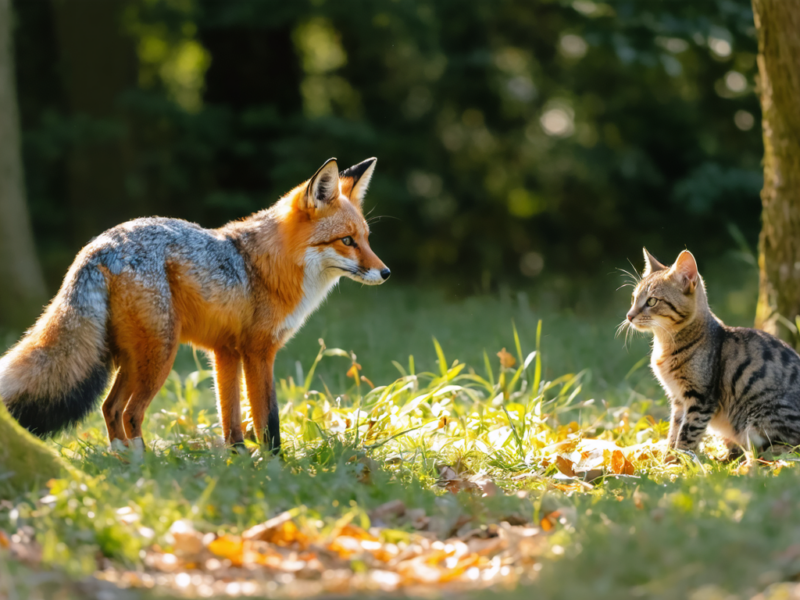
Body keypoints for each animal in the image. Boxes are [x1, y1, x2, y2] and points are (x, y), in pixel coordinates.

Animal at [0, 157, 390, 453]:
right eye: (346, 241)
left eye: (367, 239)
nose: (386, 273)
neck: (267, 266)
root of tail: (100, 245)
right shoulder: (258, 351)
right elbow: (268, 418)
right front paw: (276, 465)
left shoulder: (226, 352)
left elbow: (231, 418)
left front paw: (238, 460)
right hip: (160, 354)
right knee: (129, 412)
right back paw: (145, 467)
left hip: (133, 357)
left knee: (109, 408)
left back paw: (123, 464)